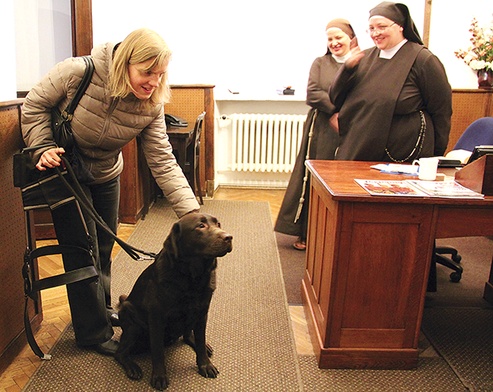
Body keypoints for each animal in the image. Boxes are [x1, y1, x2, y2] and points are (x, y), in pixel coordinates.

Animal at [115, 213, 233, 390]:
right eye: (200, 226)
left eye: (218, 224)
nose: (229, 237)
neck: (193, 278)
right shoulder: (156, 318)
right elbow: (157, 351)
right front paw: (159, 376)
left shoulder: (202, 311)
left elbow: (200, 339)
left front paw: (205, 364)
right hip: (132, 320)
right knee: (119, 353)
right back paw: (132, 367)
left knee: (187, 334)